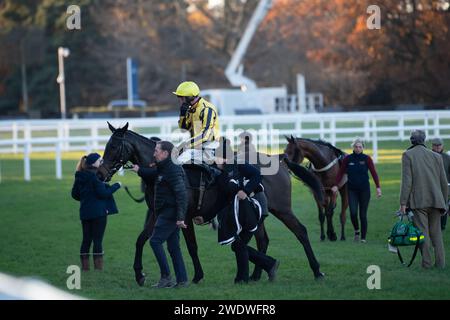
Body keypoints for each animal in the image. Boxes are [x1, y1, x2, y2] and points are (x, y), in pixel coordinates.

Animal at [97, 123, 326, 284]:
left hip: (283, 209)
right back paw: (257, 274)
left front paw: (197, 275)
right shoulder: (156, 213)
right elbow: (141, 240)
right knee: (262, 240)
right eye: (107, 145)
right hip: (260, 215)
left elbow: (191, 246)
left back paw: (317, 270)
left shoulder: (185, 216)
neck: (163, 170)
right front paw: (139, 274)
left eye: (114, 146)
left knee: (301, 231)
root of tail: (278, 158)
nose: (100, 173)